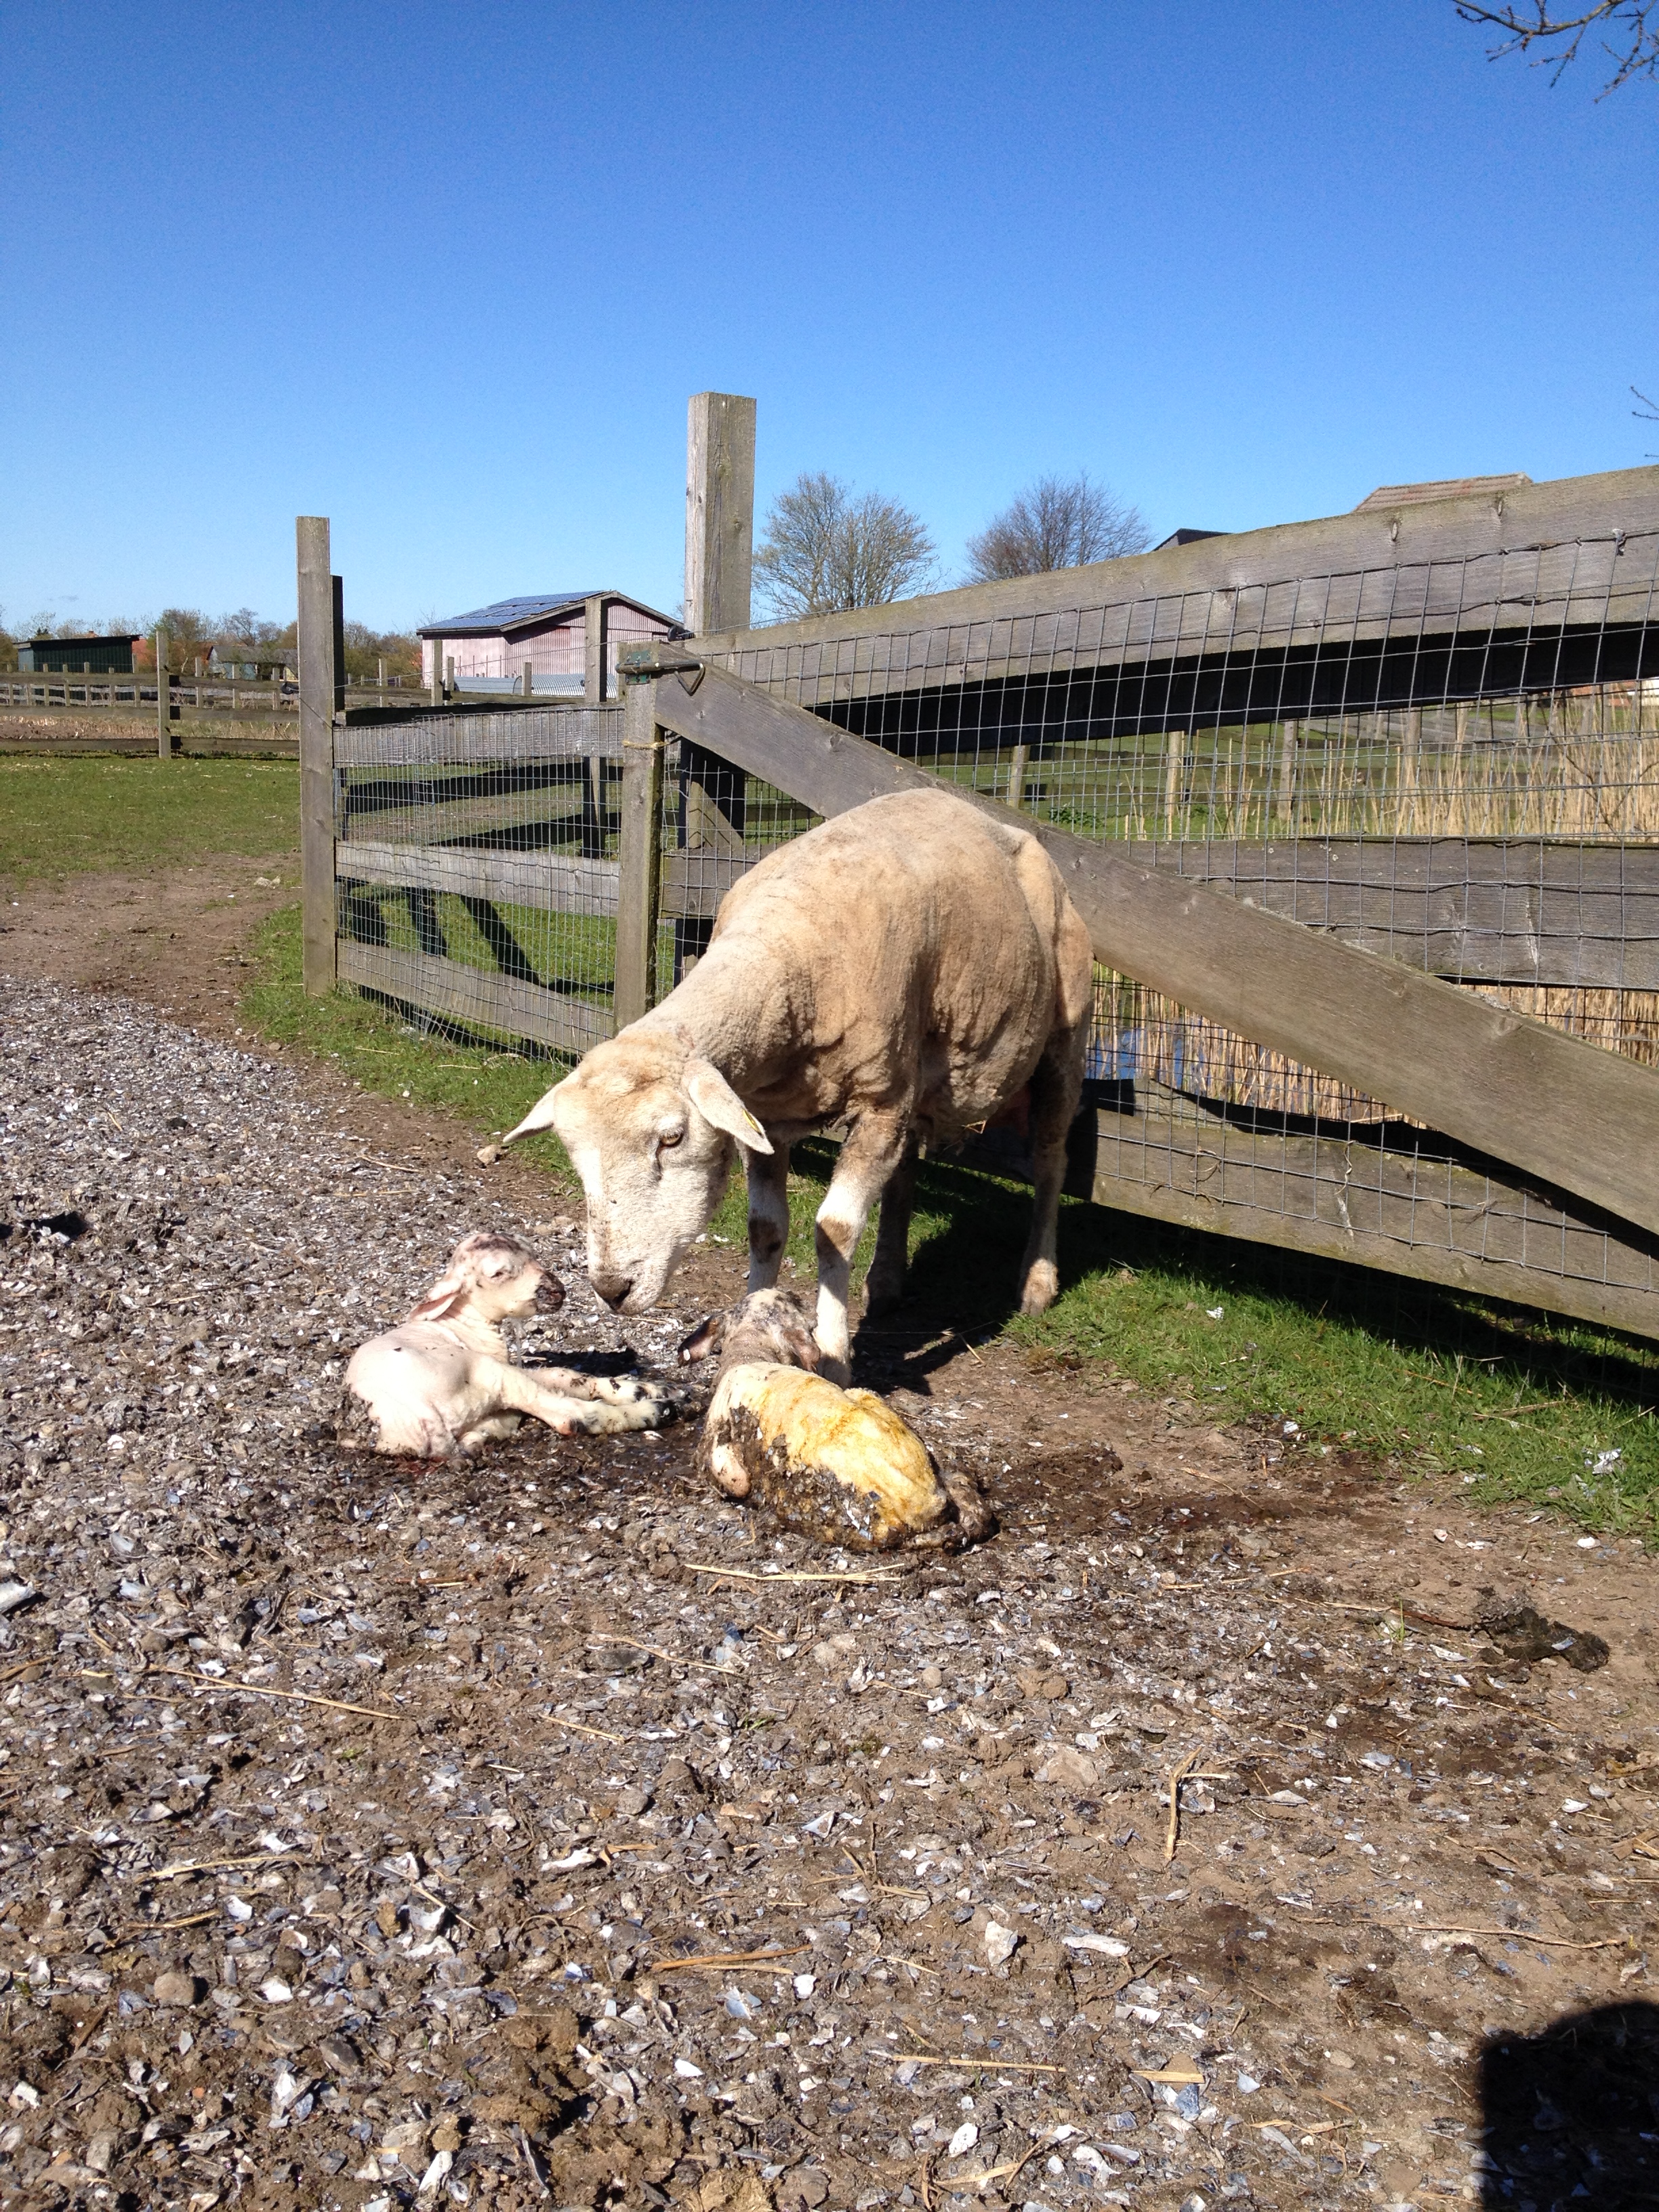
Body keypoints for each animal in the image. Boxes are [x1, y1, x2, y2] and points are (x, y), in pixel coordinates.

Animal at [340, 1238, 672, 1460]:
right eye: (497, 1273)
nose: (558, 1291)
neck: (464, 1322)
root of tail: (415, 1410)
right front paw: (652, 1396)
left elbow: (562, 1375)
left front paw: (647, 1388)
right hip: (483, 1373)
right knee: (567, 1415)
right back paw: (659, 1411)